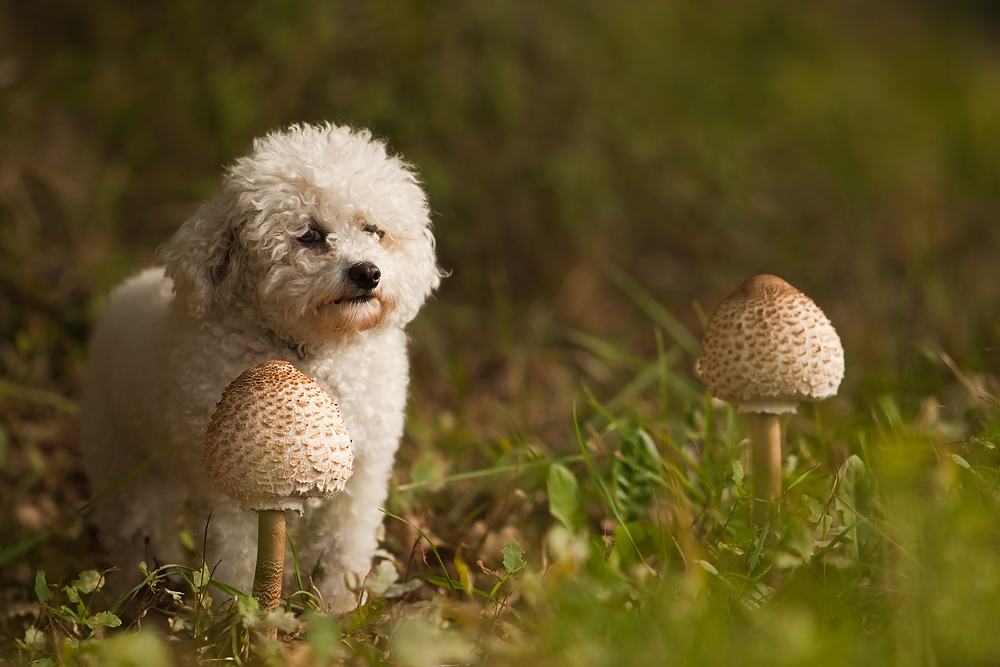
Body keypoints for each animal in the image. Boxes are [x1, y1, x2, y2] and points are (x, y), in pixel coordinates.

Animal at [78, 122, 438, 612]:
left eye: (374, 230)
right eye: (310, 234)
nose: (367, 272)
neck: (314, 353)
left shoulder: (362, 475)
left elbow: (343, 549)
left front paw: (336, 612)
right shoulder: (226, 489)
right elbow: (236, 556)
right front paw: (238, 617)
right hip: (119, 454)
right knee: (136, 528)